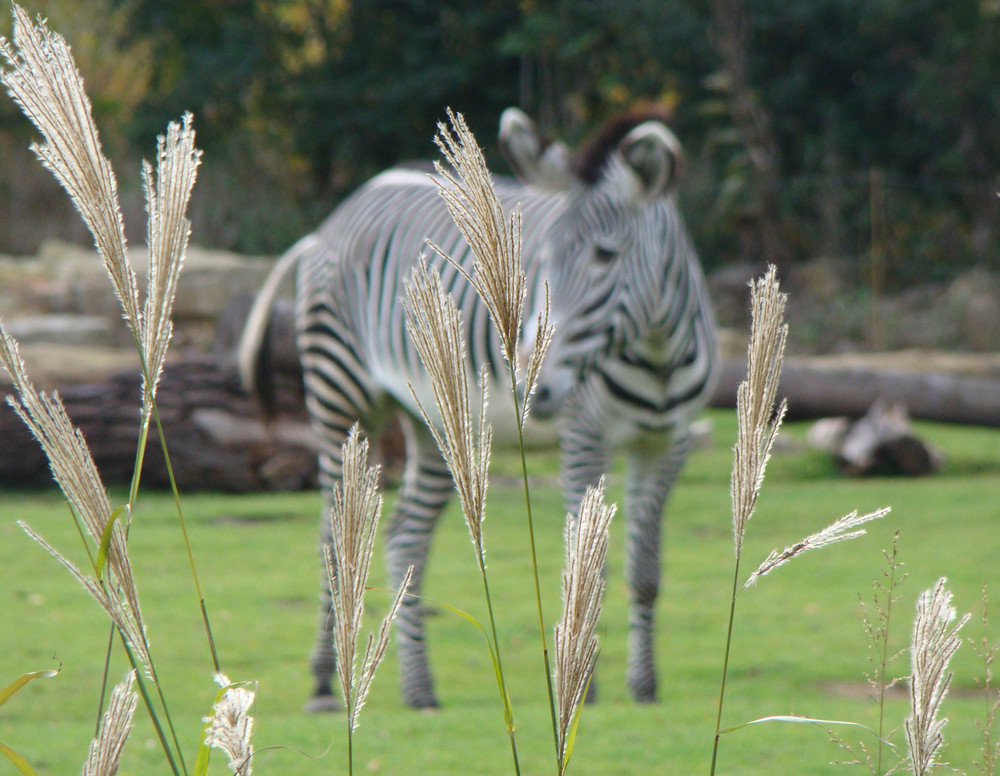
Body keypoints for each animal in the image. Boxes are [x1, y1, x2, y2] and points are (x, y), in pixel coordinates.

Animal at [234, 106, 720, 712]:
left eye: (606, 255)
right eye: (542, 260)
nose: (531, 385)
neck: (656, 354)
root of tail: (336, 216)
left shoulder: (669, 443)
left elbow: (645, 570)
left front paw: (645, 686)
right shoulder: (584, 437)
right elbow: (589, 567)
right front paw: (582, 691)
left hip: (434, 424)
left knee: (404, 536)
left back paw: (420, 689)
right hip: (339, 391)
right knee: (335, 532)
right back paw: (326, 680)